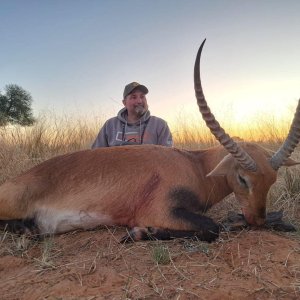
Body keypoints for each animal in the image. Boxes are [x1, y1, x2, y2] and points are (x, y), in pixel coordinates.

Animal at [0, 39, 300, 243]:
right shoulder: (161, 211)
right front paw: (140, 233)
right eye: (242, 179)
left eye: (272, 180)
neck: (195, 164)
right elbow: (212, 228)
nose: (258, 220)